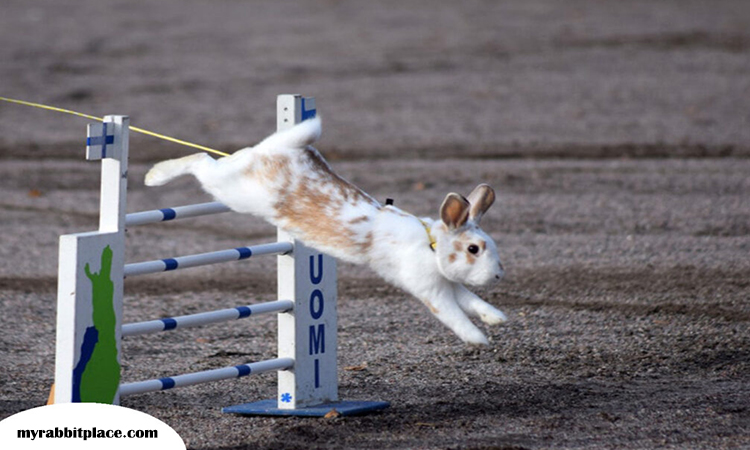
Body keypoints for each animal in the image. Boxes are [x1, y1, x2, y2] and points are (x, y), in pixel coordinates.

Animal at [145, 117, 512, 344]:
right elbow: (453, 315)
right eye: (473, 249)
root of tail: (275, 152)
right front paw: (479, 339)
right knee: (199, 161)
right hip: (226, 187)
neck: (432, 245)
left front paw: (497, 319)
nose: (497, 275)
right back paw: (154, 176)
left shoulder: (449, 284)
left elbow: (471, 301)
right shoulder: (430, 290)